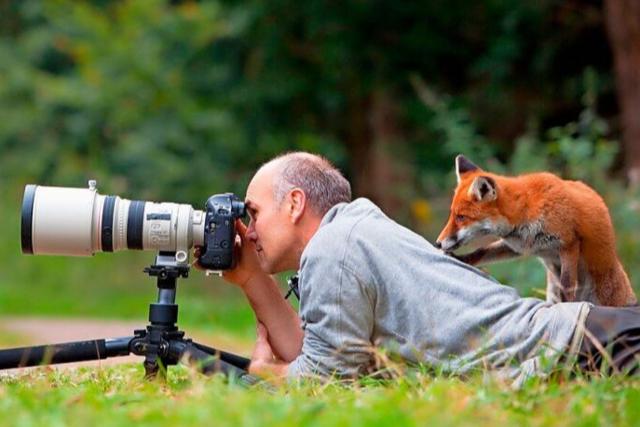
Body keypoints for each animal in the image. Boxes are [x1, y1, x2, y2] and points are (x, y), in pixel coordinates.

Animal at [432, 155, 636, 308]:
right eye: (452, 214)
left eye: (461, 217)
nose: (438, 243)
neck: (526, 212)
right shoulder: (519, 246)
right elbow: (482, 251)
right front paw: (462, 259)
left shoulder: (569, 243)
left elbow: (567, 287)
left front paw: (568, 309)